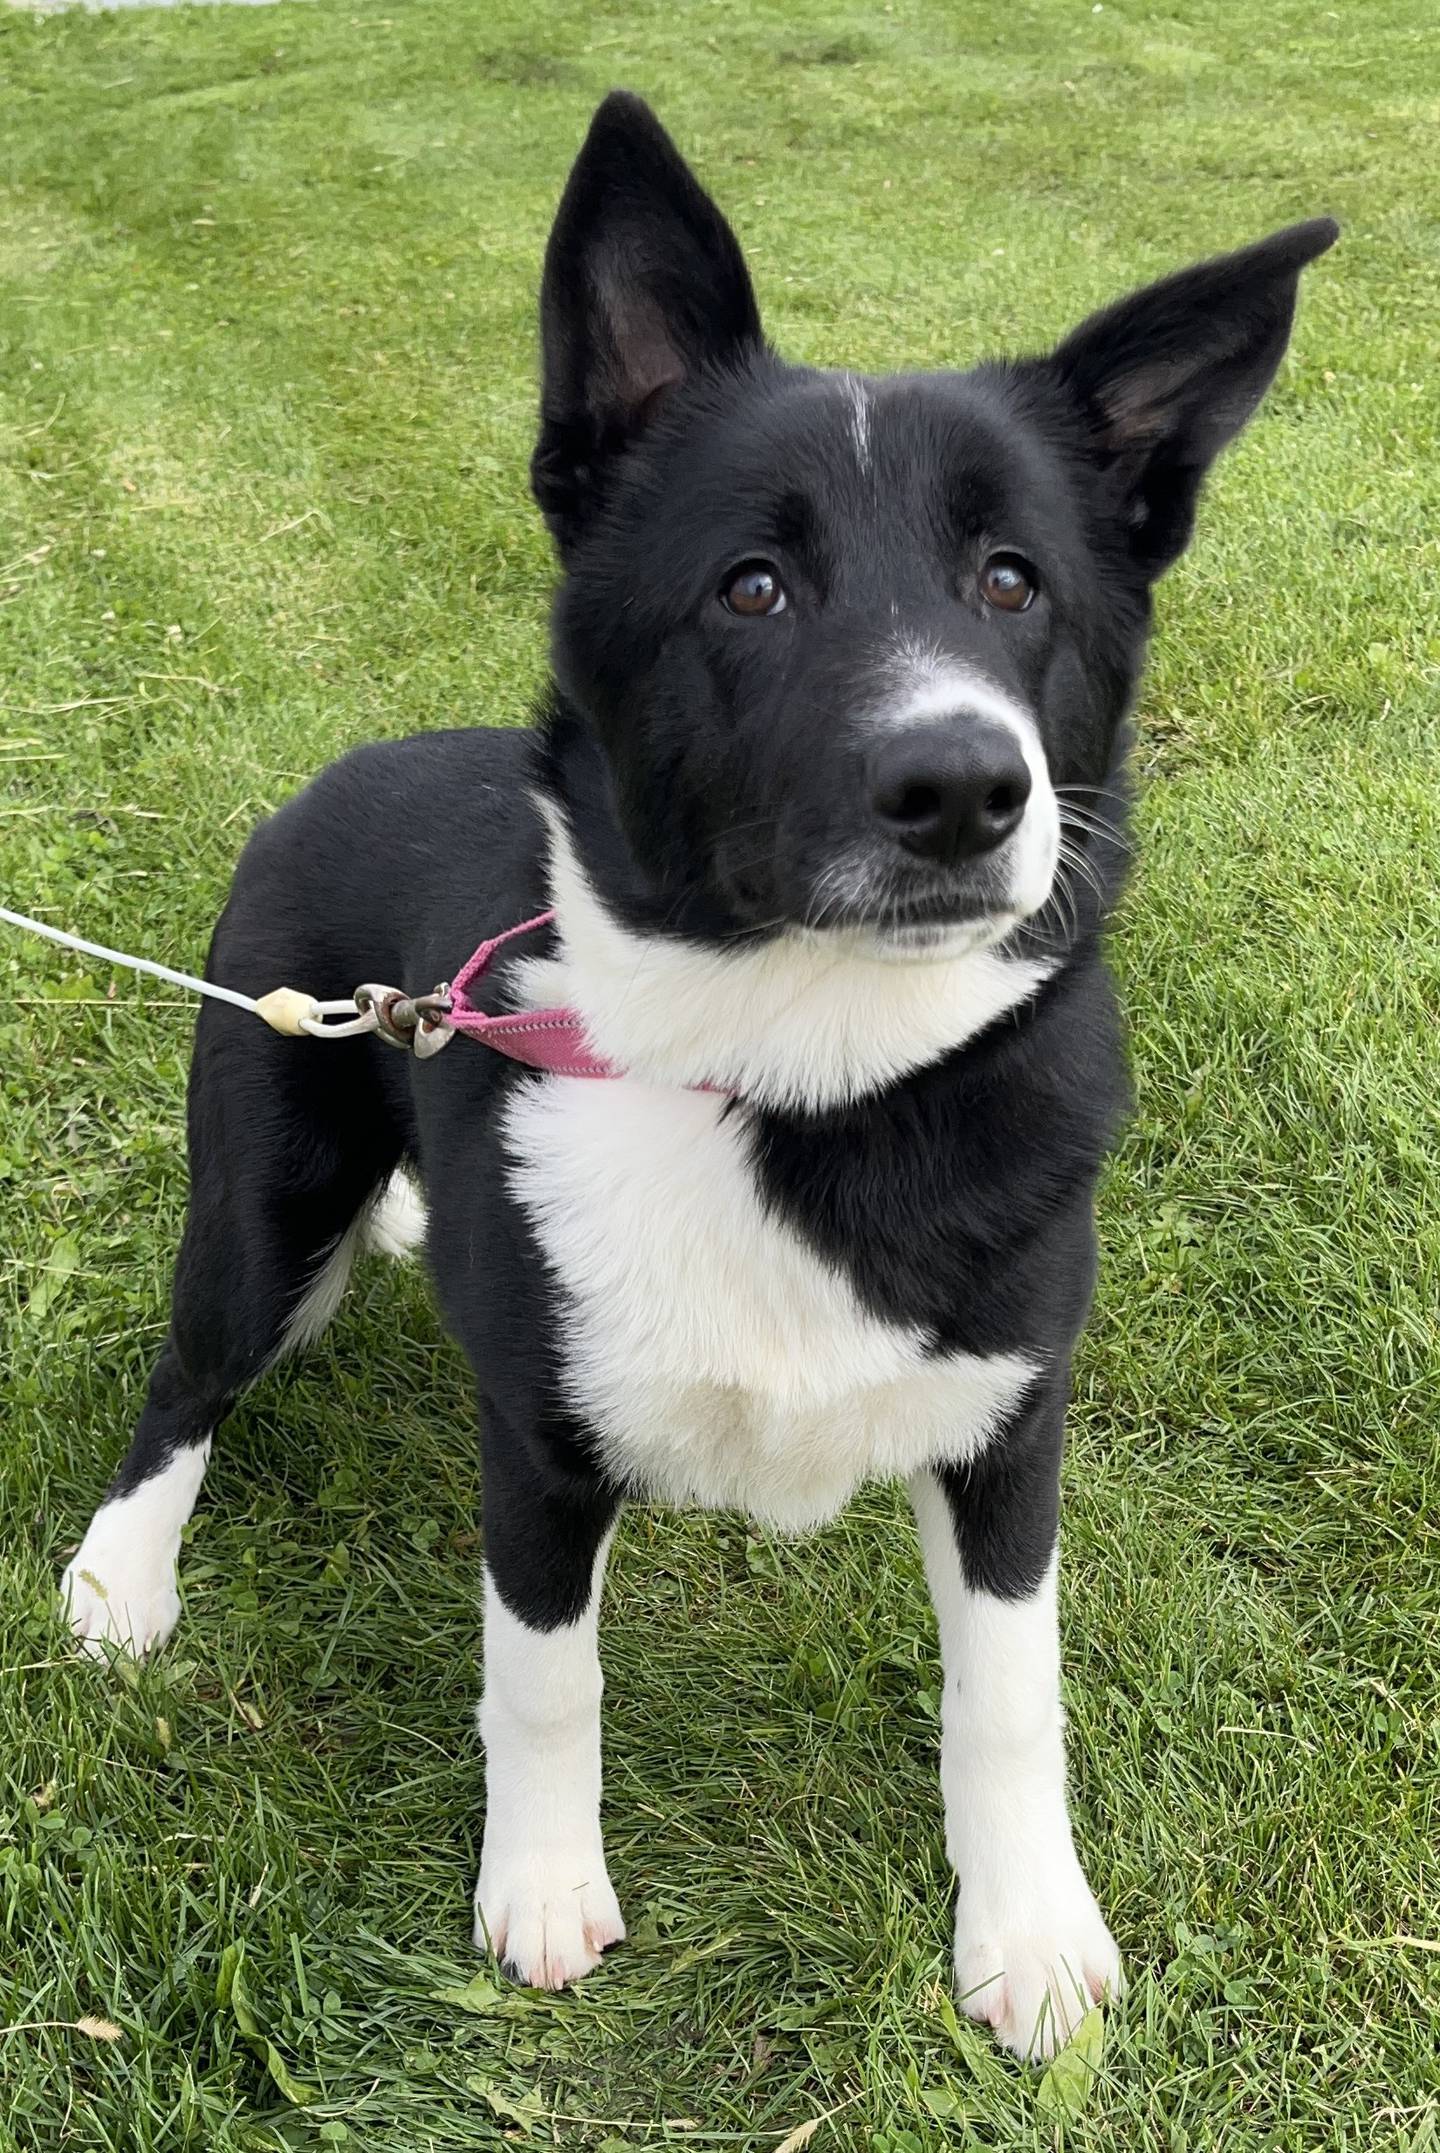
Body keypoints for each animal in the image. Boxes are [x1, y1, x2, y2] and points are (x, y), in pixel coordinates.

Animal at [58, 92, 1334, 2058]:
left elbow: (1011, 1694)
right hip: (266, 1201)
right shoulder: (540, 1447)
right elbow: (542, 1681)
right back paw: (123, 1575)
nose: (966, 789)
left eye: (1013, 580)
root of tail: (335, 765)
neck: (797, 1083)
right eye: (753, 584)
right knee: (188, 1372)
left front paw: (1029, 1934)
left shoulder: (1011, 1428)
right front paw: (540, 1891)